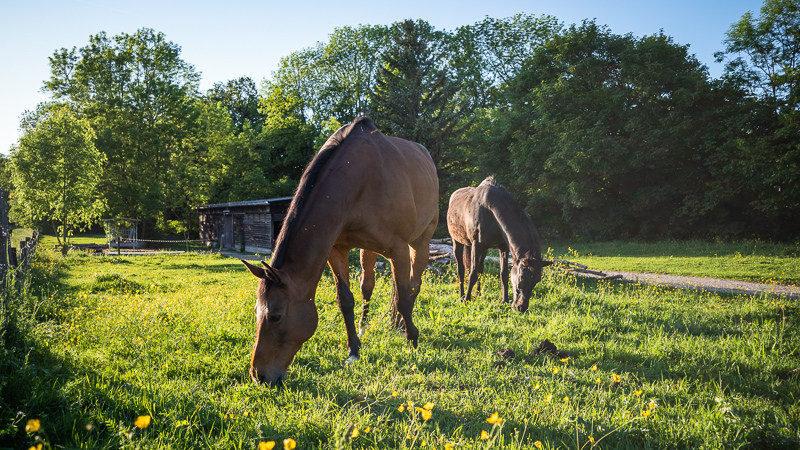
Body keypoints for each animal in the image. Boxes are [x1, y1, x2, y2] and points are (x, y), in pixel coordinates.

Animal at [242, 116, 438, 384]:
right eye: (255, 312)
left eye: (275, 316)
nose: (259, 376)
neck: (361, 179)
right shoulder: (337, 250)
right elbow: (346, 300)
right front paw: (354, 350)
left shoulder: (398, 249)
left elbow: (404, 298)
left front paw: (413, 339)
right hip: (369, 250)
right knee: (368, 285)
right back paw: (370, 325)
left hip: (420, 241)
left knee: (413, 285)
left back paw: (401, 326)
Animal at [444, 177, 552, 312]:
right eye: (522, 277)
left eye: (537, 280)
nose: (521, 308)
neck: (491, 211)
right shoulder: (476, 246)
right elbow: (472, 274)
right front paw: (466, 300)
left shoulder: (503, 247)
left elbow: (503, 274)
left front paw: (504, 300)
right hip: (457, 242)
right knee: (461, 270)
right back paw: (462, 295)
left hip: (482, 249)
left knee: (480, 268)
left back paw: (478, 294)